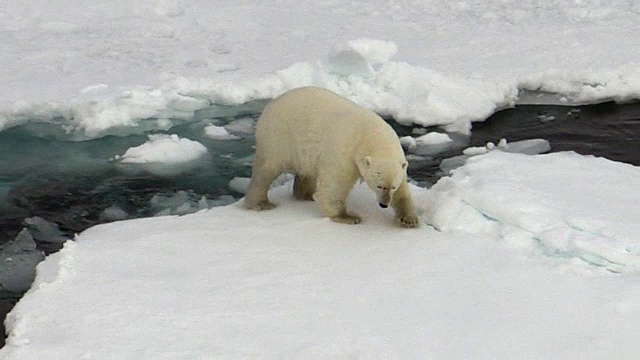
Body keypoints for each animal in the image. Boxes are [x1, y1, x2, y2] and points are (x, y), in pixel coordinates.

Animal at [242, 87, 418, 226]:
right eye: (379, 186)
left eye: (392, 187)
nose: (383, 204)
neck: (370, 135)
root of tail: (271, 104)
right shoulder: (344, 152)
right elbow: (335, 185)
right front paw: (347, 217)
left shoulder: (398, 163)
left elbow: (403, 191)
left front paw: (409, 219)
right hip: (278, 137)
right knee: (266, 169)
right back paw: (260, 204)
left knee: (307, 171)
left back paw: (305, 195)